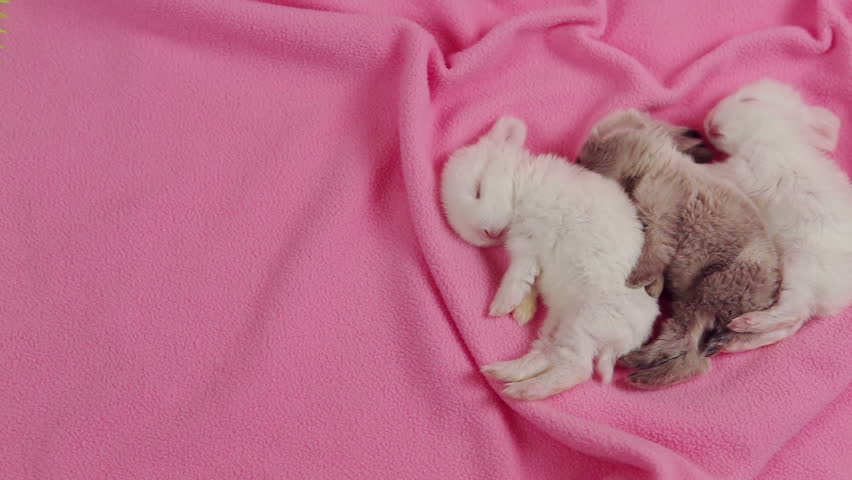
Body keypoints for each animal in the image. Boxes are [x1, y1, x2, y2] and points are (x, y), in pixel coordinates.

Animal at [441, 116, 659, 400]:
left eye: (478, 189)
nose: (488, 232)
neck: (522, 186)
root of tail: (629, 340)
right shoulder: (528, 248)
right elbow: (527, 281)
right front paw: (520, 311)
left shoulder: (528, 244)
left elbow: (517, 276)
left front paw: (501, 305)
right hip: (558, 325)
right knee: (547, 355)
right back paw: (505, 374)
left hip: (584, 323)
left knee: (576, 368)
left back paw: (524, 390)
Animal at [576, 109, 783, 388]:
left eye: (601, 141)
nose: (578, 162)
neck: (653, 162)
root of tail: (763, 298)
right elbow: (657, 263)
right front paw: (652, 287)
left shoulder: (661, 213)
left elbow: (654, 250)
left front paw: (635, 280)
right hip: (700, 301)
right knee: (693, 358)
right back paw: (643, 370)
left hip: (708, 292)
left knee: (684, 346)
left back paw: (637, 367)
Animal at [701, 78, 852, 352]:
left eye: (748, 100)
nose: (708, 121)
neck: (771, 135)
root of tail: (841, 294)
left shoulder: (749, 169)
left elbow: (720, 171)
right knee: (790, 324)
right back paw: (735, 341)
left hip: (802, 263)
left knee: (794, 311)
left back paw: (748, 322)